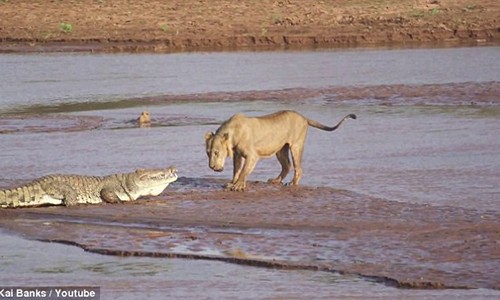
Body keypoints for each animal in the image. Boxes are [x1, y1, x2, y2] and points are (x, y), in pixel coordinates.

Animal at [204, 110, 356, 192]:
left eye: (216, 152)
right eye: (208, 153)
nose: (211, 167)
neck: (232, 134)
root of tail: (303, 116)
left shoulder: (252, 155)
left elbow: (243, 171)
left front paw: (238, 185)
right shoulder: (237, 155)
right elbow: (236, 170)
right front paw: (232, 183)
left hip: (296, 145)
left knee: (298, 167)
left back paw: (293, 183)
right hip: (281, 149)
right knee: (287, 165)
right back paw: (276, 181)